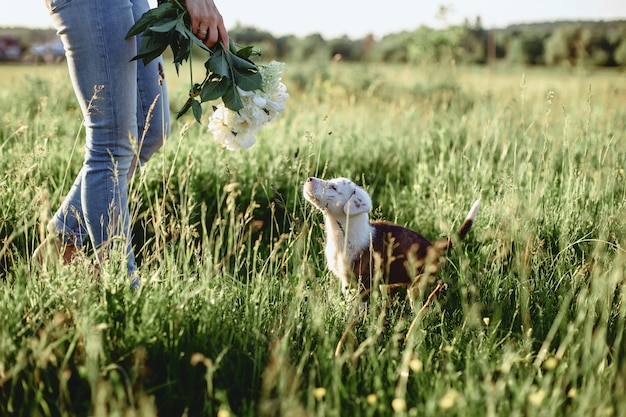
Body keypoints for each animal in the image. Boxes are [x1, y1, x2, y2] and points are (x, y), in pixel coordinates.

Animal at [302, 176, 478, 302]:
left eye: (334, 187)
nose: (309, 179)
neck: (342, 233)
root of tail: (432, 246)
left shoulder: (361, 286)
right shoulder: (346, 282)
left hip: (417, 284)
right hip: (389, 283)